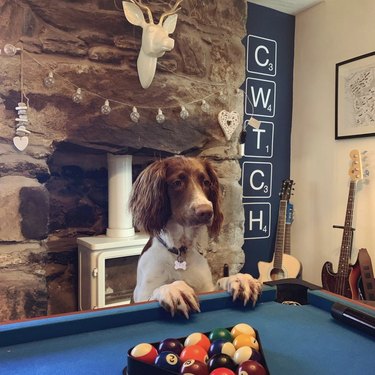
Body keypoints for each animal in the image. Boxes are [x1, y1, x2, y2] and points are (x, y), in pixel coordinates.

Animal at [129, 156, 262, 318]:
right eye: (177, 183)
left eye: (206, 182)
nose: (206, 211)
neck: (179, 252)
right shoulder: (142, 295)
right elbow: (156, 291)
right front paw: (173, 288)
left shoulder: (207, 289)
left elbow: (220, 281)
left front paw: (238, 279)